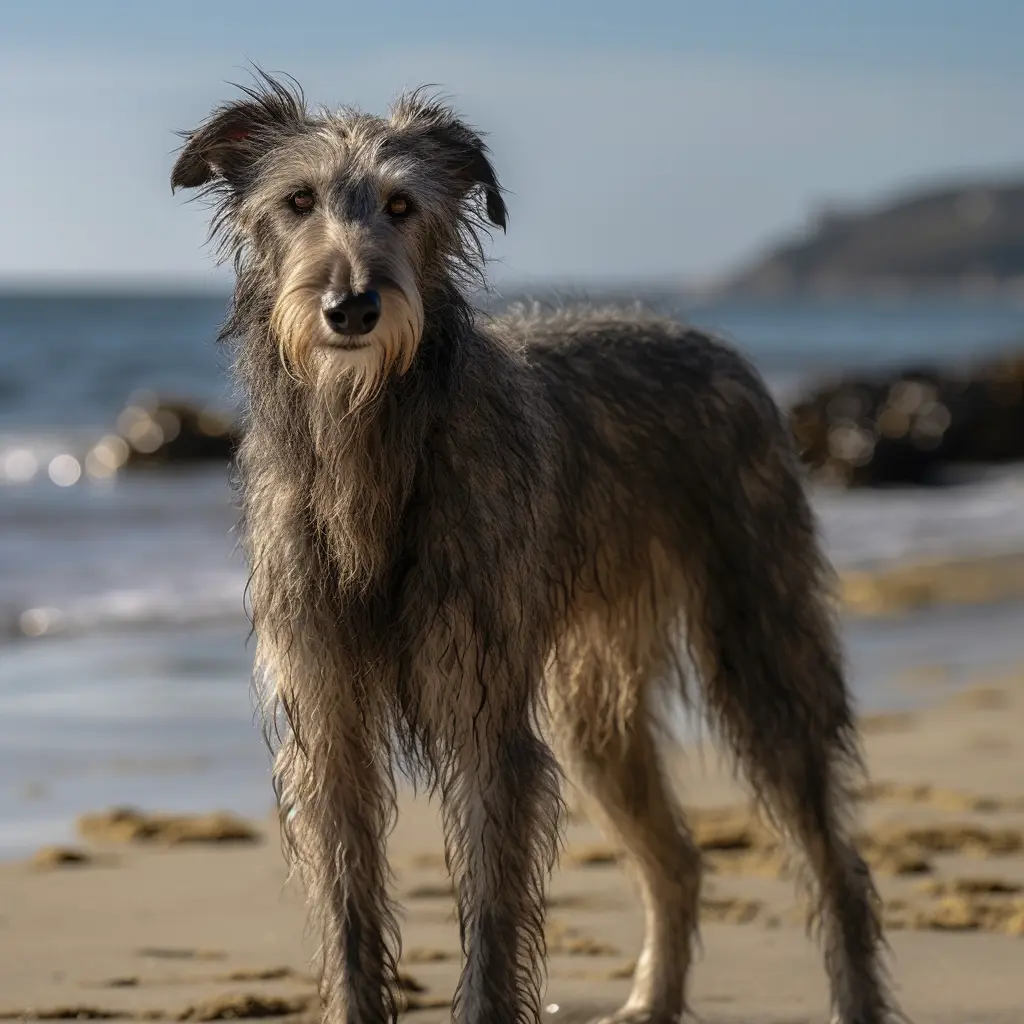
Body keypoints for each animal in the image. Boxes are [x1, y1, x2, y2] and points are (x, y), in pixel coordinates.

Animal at [174, 74, 897, 1024]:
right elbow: (350, 911)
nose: (353, 308)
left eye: (402, 204)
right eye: (298, 201)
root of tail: (715, 346)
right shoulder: (328, 718)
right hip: (593, 707)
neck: (371, 441)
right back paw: (653, 998)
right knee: (676, 856)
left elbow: (491, 916)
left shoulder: (486, 718)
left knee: (834, 859)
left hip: (759, 644)